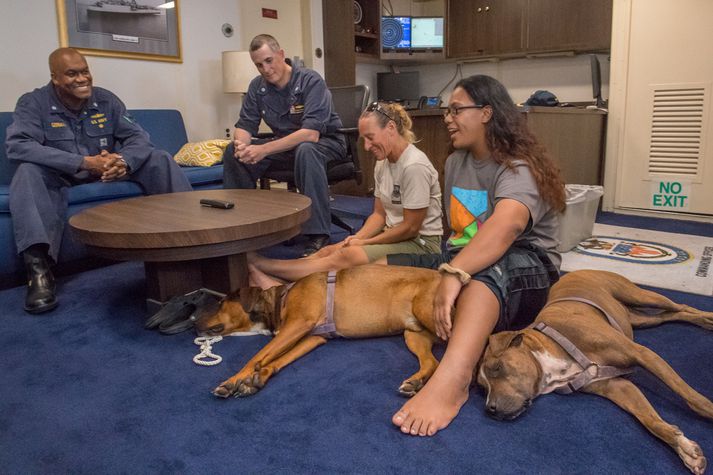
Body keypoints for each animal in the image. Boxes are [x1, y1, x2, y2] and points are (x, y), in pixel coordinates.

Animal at [478, 270, 712, 474]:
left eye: (497, 368)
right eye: (482, 388)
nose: (490, 409)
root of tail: (574, 272)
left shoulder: (643, 354)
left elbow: (692, 397)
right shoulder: (618, 387)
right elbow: (651, 421)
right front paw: (684, 448)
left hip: (641, 296)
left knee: (679, 305)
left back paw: (707, 317)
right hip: (640, 318)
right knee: (671, 314)